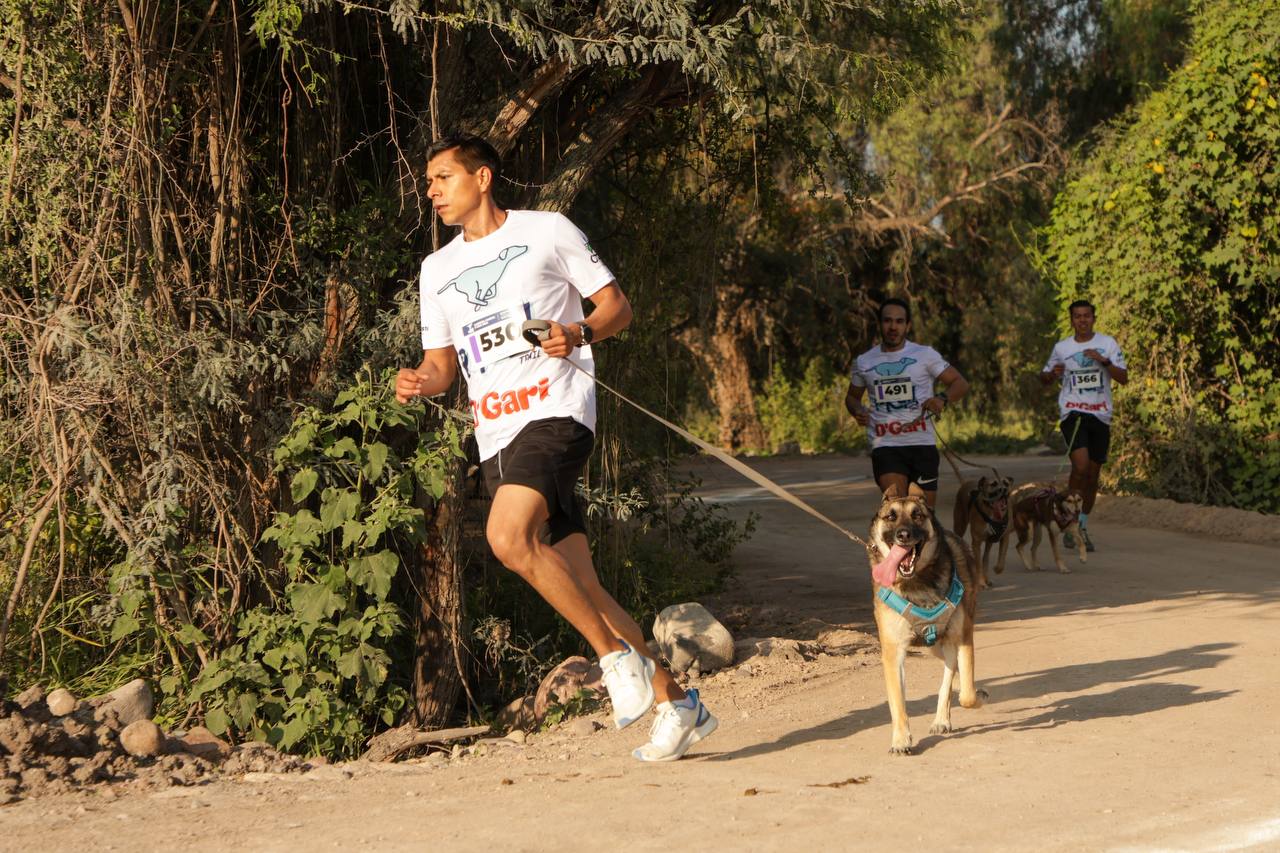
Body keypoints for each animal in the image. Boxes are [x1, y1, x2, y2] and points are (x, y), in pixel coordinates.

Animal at [870, 481, 988, 753]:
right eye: (890, 517)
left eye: (917, 516)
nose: (903, 535)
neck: (917, 583)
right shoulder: (893, 652)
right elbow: (898, 703)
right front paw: (901, 739)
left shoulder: (962, 637)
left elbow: (968, 695)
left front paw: (974, 696)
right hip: (934, 646)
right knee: (951, 671)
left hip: (948, 641)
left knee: (952, 675)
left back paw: (943, 717)